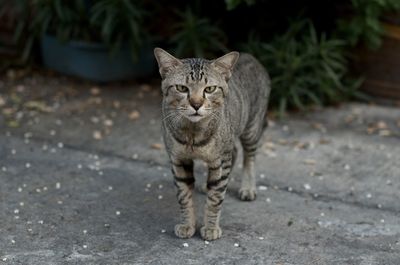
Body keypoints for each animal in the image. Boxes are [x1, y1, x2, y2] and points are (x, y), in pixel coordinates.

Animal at [155, 47, 270, 239]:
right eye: (181, 88)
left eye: (209, 89)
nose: (196, 104)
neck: (193, 133)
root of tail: (251, 56)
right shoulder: (178, 160)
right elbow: (184, 196)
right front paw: (187, 224)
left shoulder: (221, 160)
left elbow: (216, 197)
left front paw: (210, 227)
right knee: (236, 152)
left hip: (251, 128)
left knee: (249, 157)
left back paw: (247, 188)